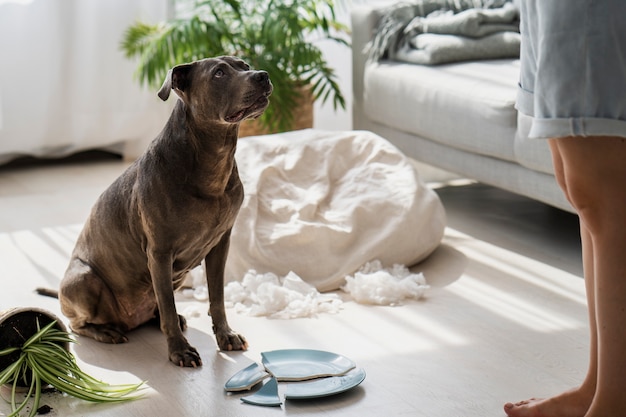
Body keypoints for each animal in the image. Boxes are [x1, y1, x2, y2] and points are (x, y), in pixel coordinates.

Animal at [56, 57, 272, 366]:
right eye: (219, 73)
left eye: (245, 65)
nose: (263, 75)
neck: (212, 160)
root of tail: (127, 321)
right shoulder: (159, 252)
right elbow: (168, 306)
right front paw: (179, 350)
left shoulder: (220, 245)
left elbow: (216, 297)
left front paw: (225, 335)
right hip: (85, 279)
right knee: (77, 323)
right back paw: (106, 331)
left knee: (158, 307)